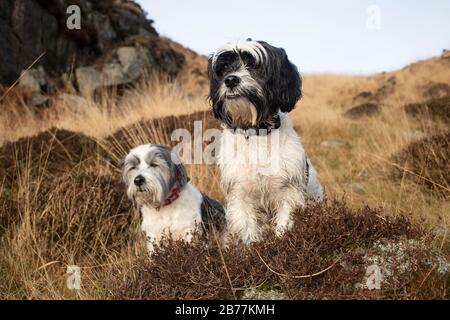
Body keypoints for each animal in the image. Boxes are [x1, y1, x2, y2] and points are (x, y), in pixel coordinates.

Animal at [207, 39, 324, 242]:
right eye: (224, 67)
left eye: (253, 65)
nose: (230, 80)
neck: (256, 133)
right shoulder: (240, 195)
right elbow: (248, 231)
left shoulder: (289, 193)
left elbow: (284, 226)